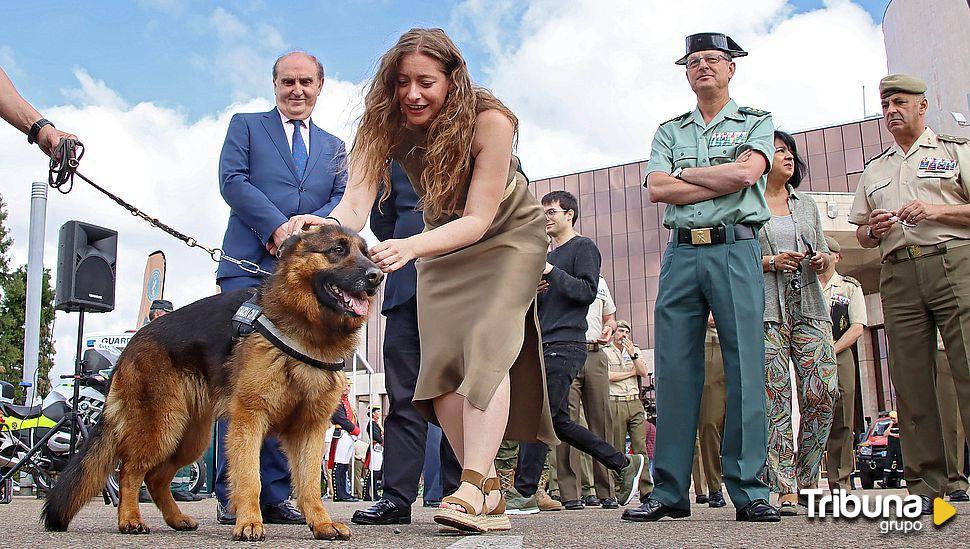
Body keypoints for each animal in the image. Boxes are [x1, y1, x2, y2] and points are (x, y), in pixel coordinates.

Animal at [42, 225, 382, 540]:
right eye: (337, 250)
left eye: (366, 253)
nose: (377, 276)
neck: (306, 328)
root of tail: (131, 343)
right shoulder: (249, 421)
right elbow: (250, 478)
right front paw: (249, 522)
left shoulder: (309, 430)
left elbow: (309, 483)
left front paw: (321, 523)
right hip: (162, 428)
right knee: (130, 471)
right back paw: (130, 519)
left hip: (190, 438)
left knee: (156, 478)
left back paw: (176, 519)